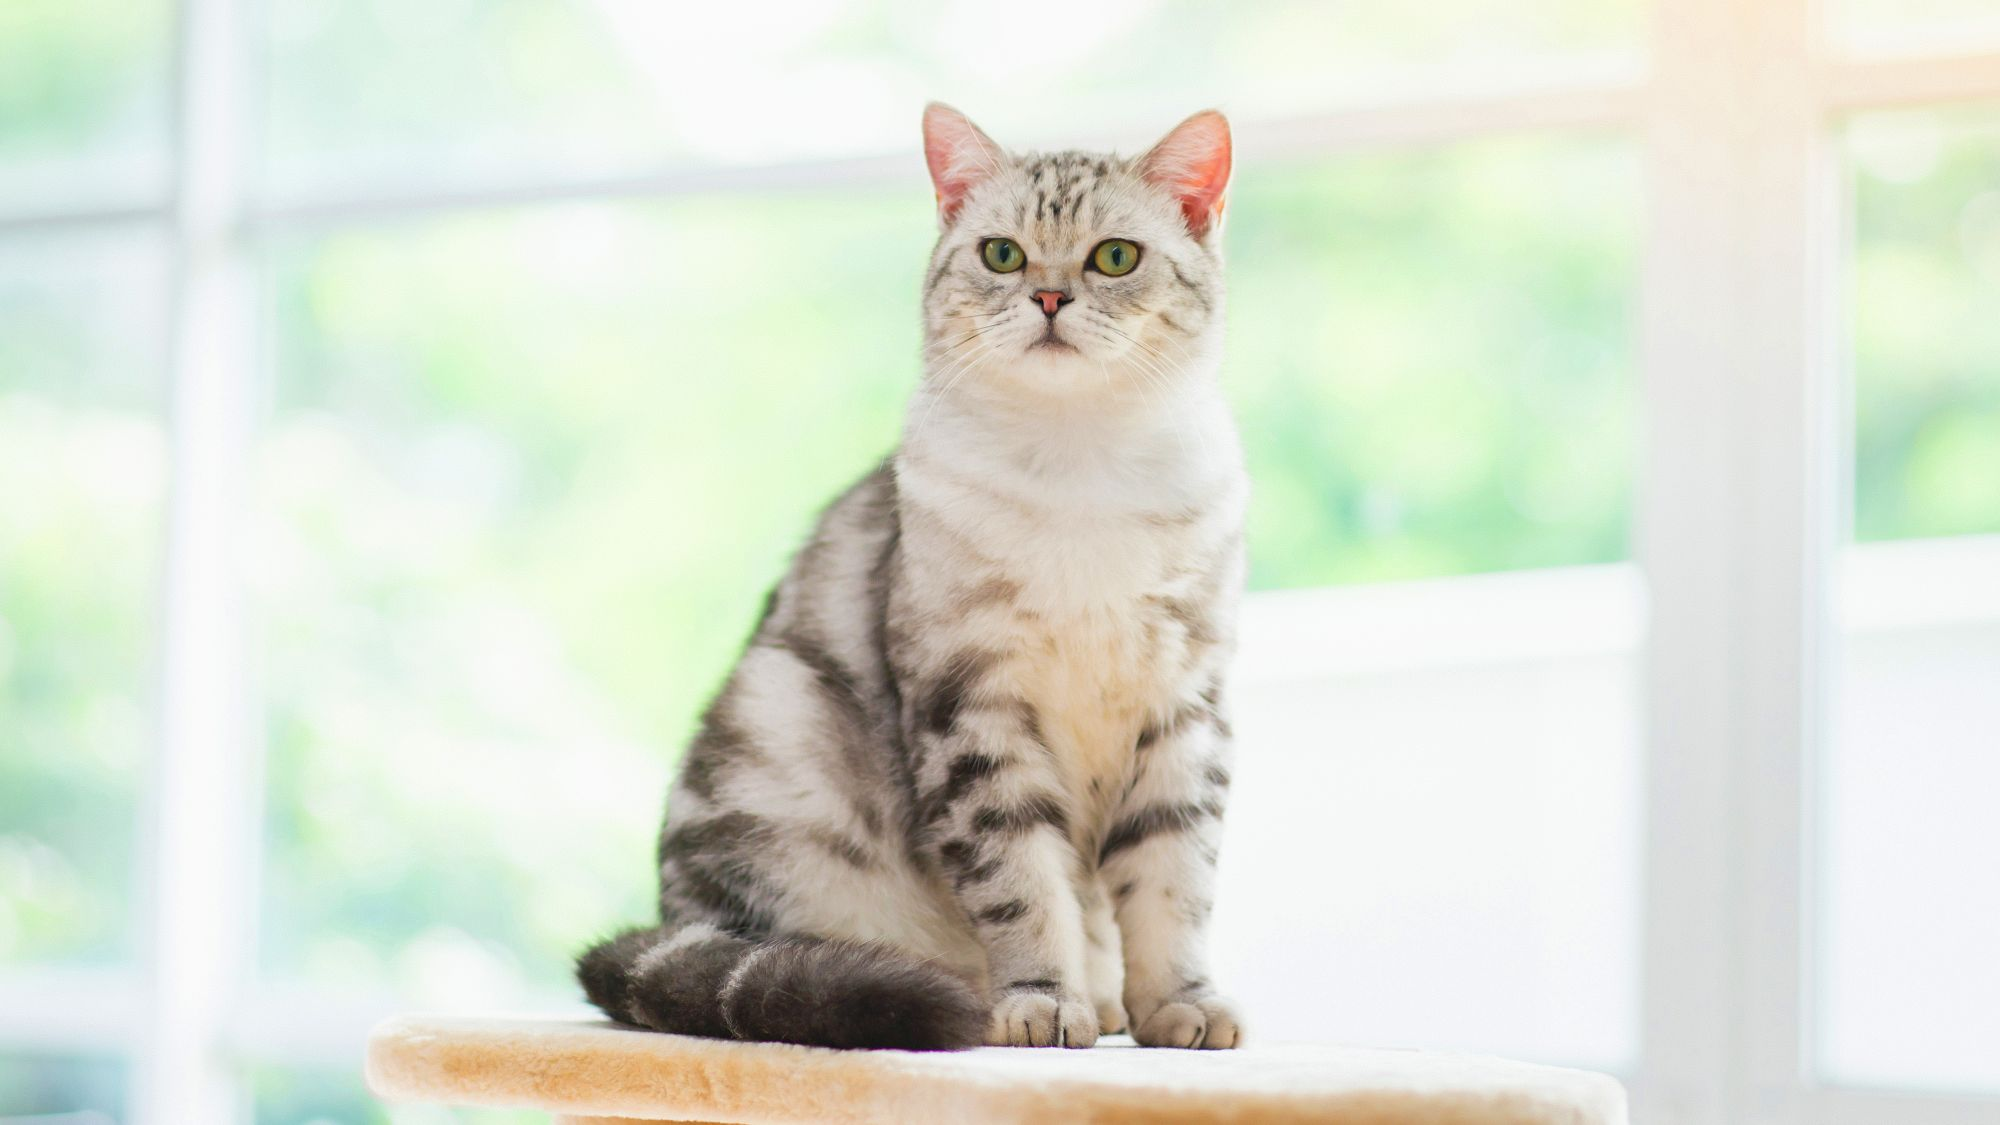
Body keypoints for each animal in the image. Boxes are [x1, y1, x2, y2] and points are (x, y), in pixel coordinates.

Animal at [576, 100, 1248, 1048]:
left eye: (1115, 256)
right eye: (1002, 253)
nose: (1049, 296)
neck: (1083, 469)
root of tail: (676, 921)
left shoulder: (1186, 706)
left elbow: (1172, 879)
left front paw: (1179, 1001)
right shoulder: (970, 707)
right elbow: (1021, 883)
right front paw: (1042, 1000)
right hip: (778, 721)